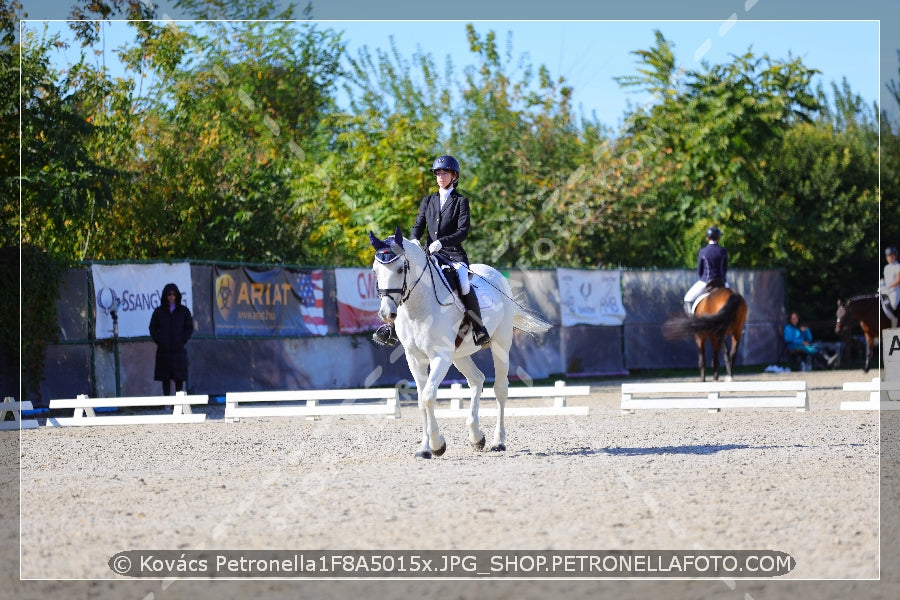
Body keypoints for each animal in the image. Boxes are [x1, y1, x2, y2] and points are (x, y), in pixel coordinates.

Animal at [370, 226, 552, 460]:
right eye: (375, 271)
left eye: (401, 269)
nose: (386, 314)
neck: (418, 307)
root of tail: (496, 275)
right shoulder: (415, 358)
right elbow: (421, 400)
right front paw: (424, 448)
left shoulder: (441, 356)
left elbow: (428, 396)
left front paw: (437, 445)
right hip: (459, 355)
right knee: (477, 380)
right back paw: (477, 437)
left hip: (500, 345)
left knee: (500, 389)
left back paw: (498, 442)